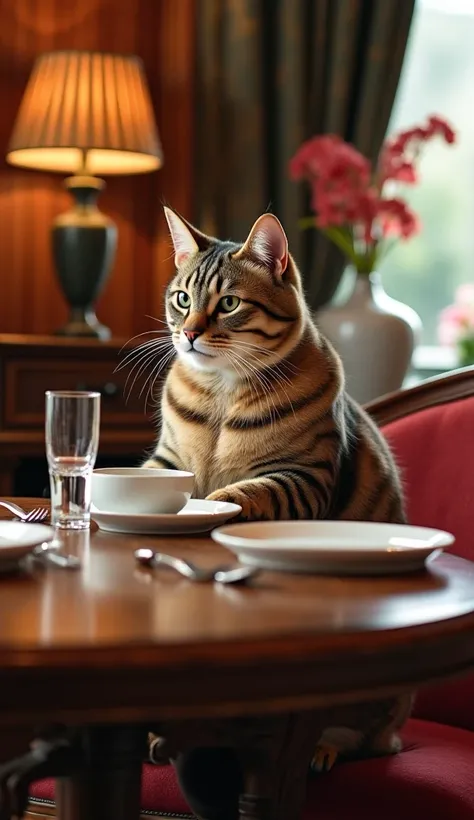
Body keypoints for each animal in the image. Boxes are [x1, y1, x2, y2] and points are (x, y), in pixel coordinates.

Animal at [144, 208, 412, 780]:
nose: (189, 334)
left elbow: (242, 492)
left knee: (364, 735)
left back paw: (321, 748)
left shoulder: (299, 476)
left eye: (229, 303)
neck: (220, 393)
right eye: (182, 298)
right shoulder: (167, 461)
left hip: (376, 711)